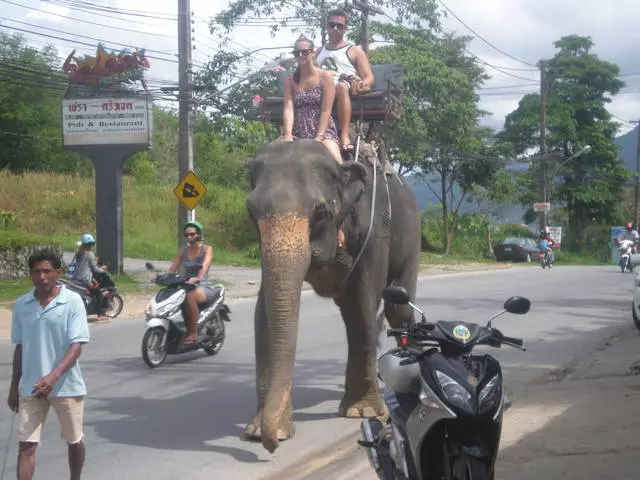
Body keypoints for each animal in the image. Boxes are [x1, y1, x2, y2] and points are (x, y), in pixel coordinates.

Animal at [242, 139, 422, 454]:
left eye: (321, 212)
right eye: (252, 212)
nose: (271, 445)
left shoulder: (375, 233)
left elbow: (362, 302)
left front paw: (363, 412)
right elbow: (263, 312)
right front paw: (260, 429)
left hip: (411, 239)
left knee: (394, 306)